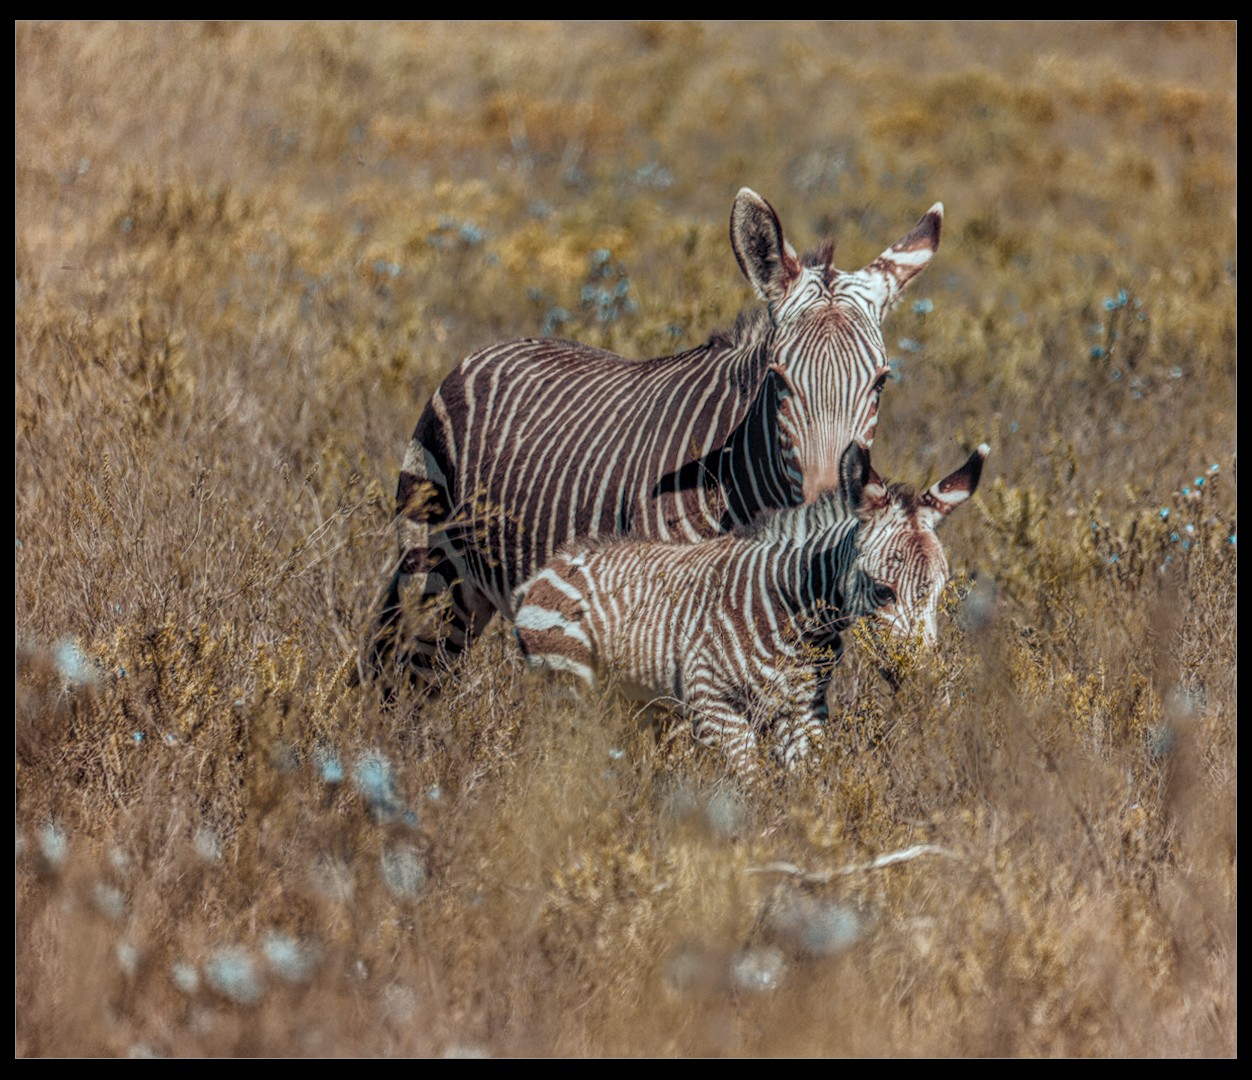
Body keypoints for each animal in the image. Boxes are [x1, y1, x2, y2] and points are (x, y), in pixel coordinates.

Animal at [368, 188, 944, 688]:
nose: (833, 503)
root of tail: (489, 349)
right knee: (409, 677)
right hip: (434, 569)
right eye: (778, 379)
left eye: (881, 383)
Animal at [513, 442, 988, 775]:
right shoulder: (715, 708)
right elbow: (752, 790)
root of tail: (548, 567)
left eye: (940, 592)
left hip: (627, 700)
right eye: (883, 590)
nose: (926, 684)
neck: (795, 614)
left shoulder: (804, 712)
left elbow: (810, 792)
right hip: (569, 687)